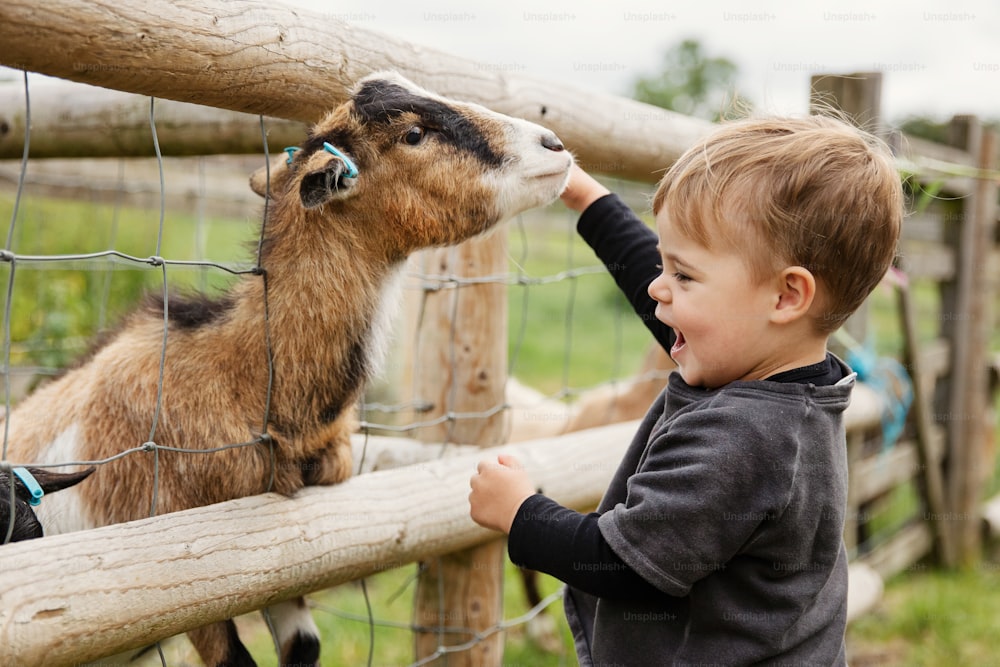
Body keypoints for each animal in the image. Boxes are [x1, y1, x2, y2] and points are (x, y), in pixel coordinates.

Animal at [1, 73, 572, 667]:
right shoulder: (184, 568)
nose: (555, 145)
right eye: (414, 134)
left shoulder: (279, 563)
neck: (247, 382)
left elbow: (304, 645)